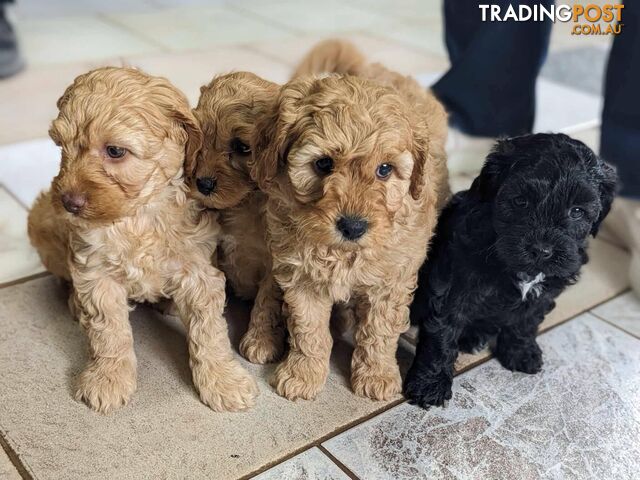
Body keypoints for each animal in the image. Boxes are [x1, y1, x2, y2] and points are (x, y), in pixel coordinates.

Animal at [26, 66, 258, 412]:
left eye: (115, 151)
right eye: (61, 147)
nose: (69, 203)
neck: (139, 215)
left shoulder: (199, 271)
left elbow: (209, 331)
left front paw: (224, 380)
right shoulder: (96, 270)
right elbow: (109, 330)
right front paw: (108, 378)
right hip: (42, 221)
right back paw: (75, 303)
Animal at [186, 72, 284, 364]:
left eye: (242, 147)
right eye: (201, 139)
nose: (203, 184)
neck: (244, 204)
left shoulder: (276, 264)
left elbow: (267, 302)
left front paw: (260, 341)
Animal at [251, 40, 450, 402]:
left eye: (385, 169)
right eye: (323, 164)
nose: (353, 227)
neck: (343, 253)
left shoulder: (392, 280)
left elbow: (379, 332)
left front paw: (377, 375)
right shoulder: (301, 275)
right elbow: (308, 330)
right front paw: (303, 374)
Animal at [402, 132, 616, 408]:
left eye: (577, 211)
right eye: (520, 201)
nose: (542, 250)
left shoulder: (546, 290)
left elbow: (526, 321)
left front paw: (521, 353)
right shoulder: (454, 283)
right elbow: (443, 331)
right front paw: (430, 383)